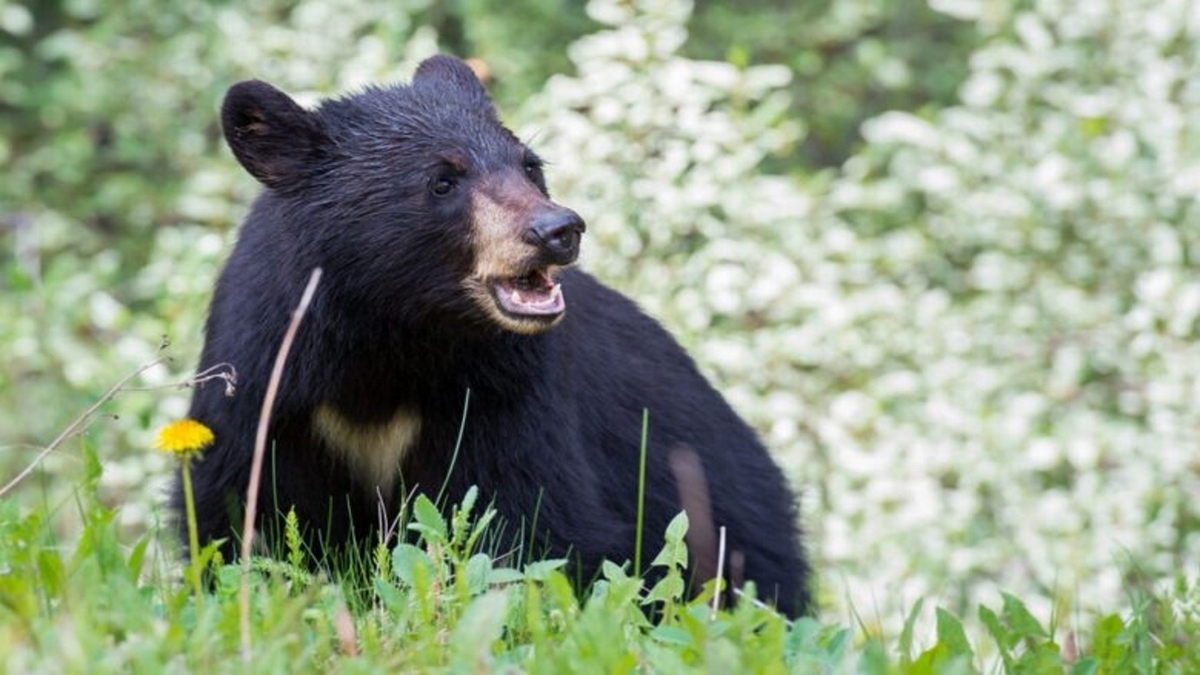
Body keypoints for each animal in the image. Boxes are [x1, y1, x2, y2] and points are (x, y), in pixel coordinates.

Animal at [175, 53, 816, 614]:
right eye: (442, 181)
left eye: (530, 165)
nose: (558, 230)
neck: (391, 333)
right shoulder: (269, 377)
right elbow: (239, 509)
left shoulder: (504, 388)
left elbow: (526, 518)